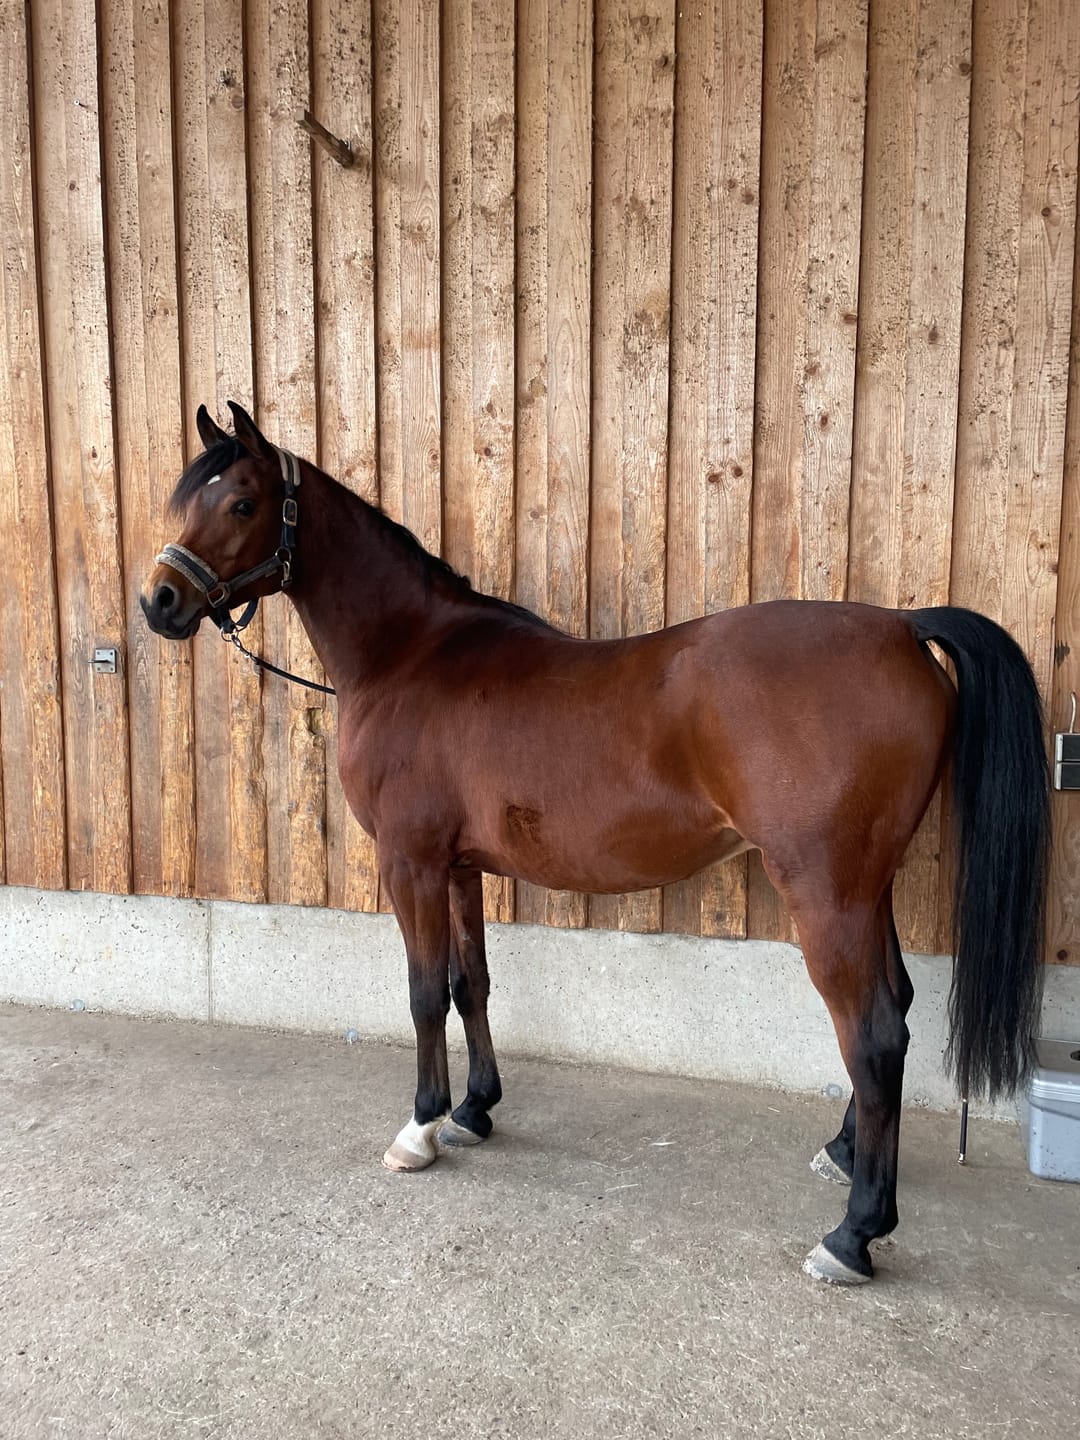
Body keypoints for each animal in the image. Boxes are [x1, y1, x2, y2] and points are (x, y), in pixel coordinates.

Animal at [142, 402, 1050, 1286]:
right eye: (188, 498)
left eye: (242, 503)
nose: (160, 602)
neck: (410, 657)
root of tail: (901, 626)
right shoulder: (460, 868)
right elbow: (472, 984)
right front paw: (474, 1110)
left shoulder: (411, 863)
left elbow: (425, 992)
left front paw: (422, 1127)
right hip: (869, 887)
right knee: (895, 1006)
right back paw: (843, 1152)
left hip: (826, 894)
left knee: (873, 1037)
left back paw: (854, 1234)